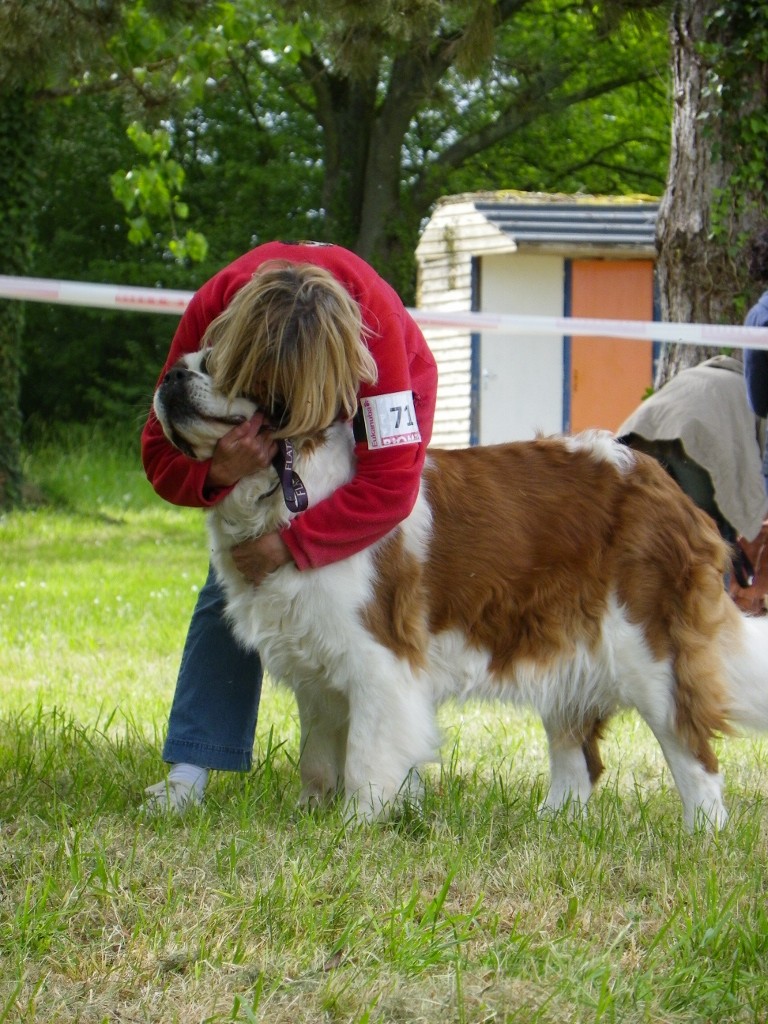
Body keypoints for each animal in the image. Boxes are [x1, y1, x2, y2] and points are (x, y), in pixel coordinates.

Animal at [153, 348, 768, 827]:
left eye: (218, 361)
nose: (172, 376)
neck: (287, 489)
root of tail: (660, 480)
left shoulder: (381, 662)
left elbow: (366, 757)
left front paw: (353, 825)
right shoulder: (317, 669)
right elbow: (319, 757)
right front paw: (312, 812)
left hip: (650, 653)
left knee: (693, 753)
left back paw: (703, 834)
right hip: (565, 646)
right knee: (579, 759)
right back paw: (552, 824)